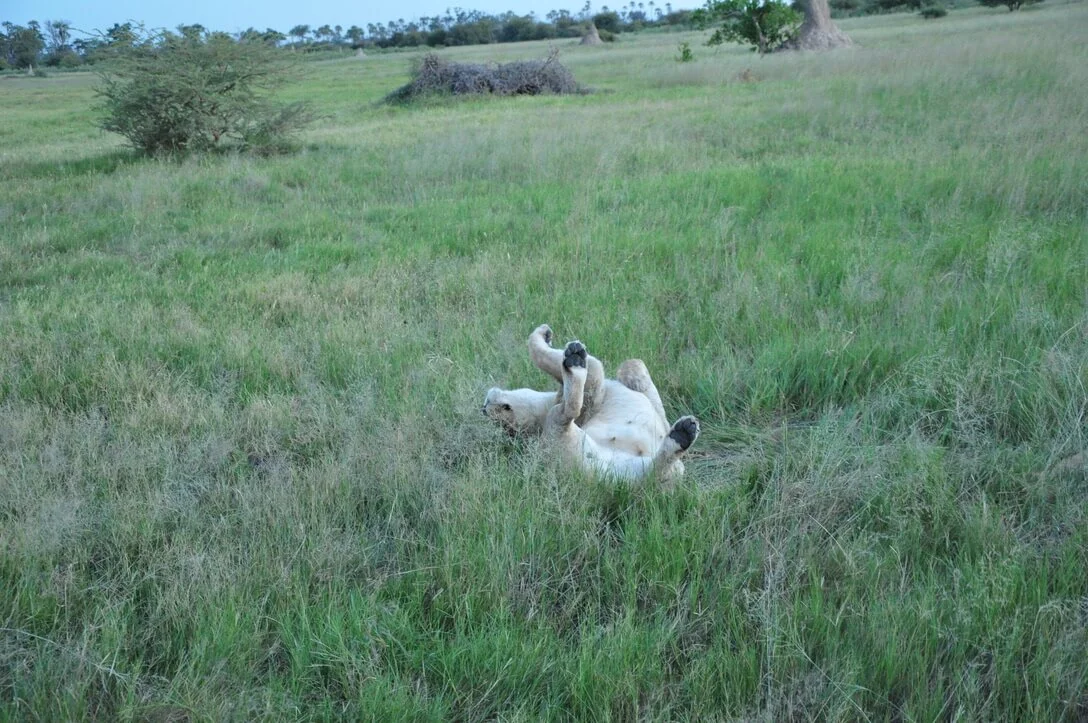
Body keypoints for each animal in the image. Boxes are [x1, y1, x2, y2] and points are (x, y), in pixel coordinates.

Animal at [483, 324, 700, 481]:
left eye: (503, 411)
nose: (484, 408)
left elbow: (633, 367)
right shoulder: (595, 381)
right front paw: (544, 333)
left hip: (662, 474)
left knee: (657, 472)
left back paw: (682, 434)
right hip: (559, 433)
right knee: (568, 411)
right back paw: (574, 362)